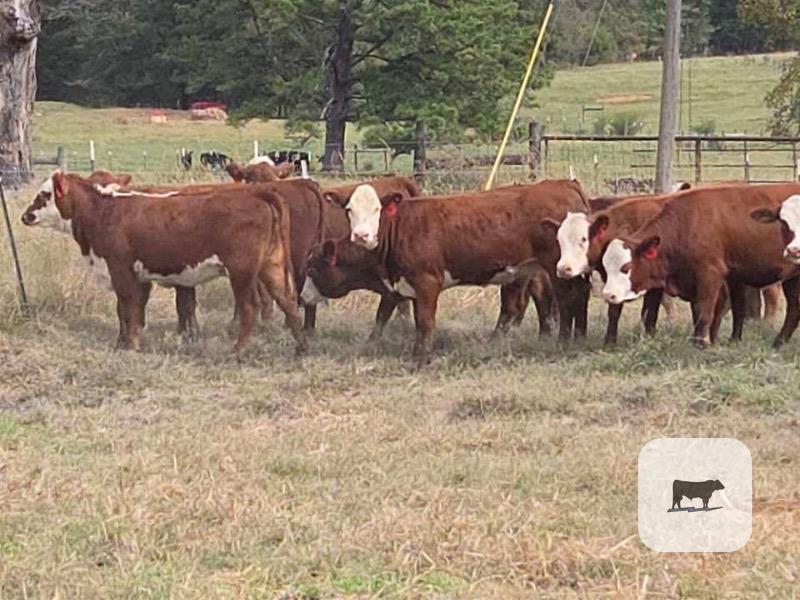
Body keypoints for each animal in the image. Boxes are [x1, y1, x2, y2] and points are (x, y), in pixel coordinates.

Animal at [21, 171, 306, 355]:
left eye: (44, 194)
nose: (25, 216)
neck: (104, 213)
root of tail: (257, 194)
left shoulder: (120, 270)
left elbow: (127, 308)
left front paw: (130, 346)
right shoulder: (139, 276)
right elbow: (129, 311)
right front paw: (123, 343)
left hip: (242, 271)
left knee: (250, 307)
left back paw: (237, 350)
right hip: (272, 266)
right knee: (288, 302)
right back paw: (301, 347)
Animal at [332, 180, 591, 367]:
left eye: (377, 209)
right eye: (349, 210)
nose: (361, 235)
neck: (402, 227)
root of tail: (564, 183)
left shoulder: (427, 282)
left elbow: (425, 322)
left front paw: (421, 361)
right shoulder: (409, 285)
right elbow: (406, 319)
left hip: (559, 267)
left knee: (566, 300)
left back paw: (563, 340)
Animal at [605, 183, 800, 348]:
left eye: (626, 267)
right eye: (605, 268)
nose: (608, 295)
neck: (687, 224)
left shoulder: (709, 274)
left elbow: (704, 310)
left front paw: (701, 343)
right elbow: (718, 309)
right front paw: (720, 341)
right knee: (794, 307)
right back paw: (779, 343)